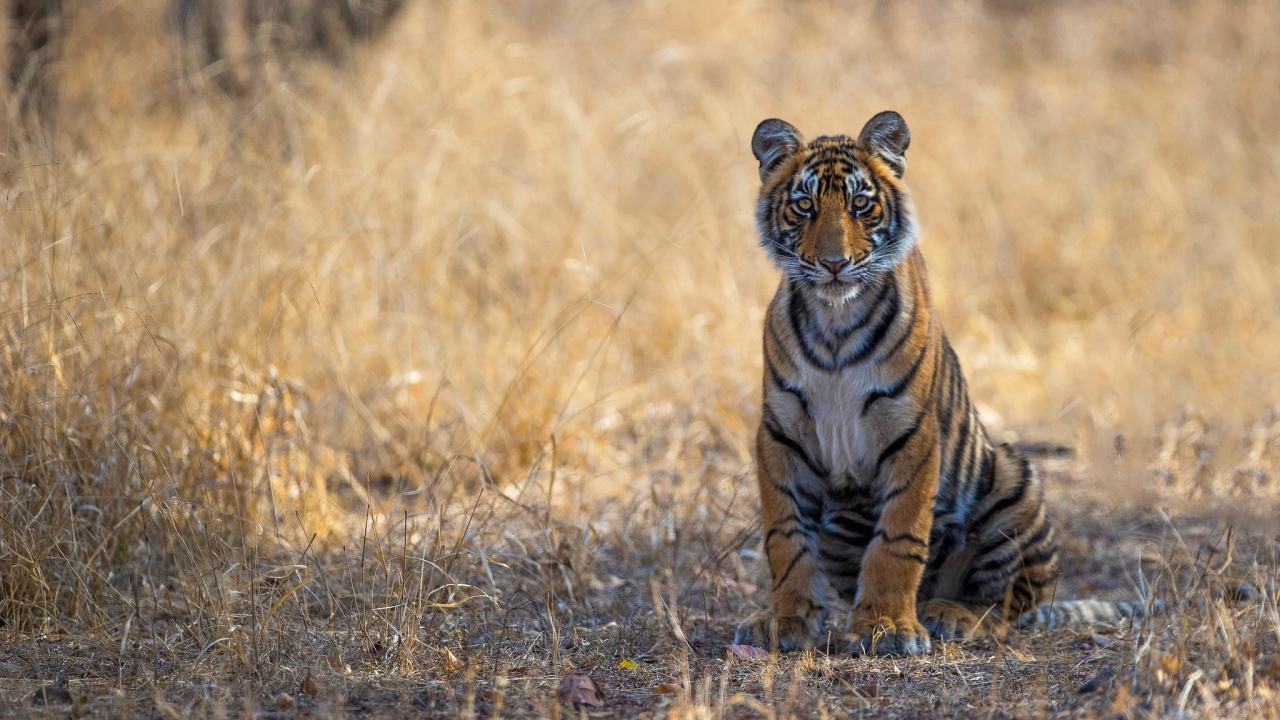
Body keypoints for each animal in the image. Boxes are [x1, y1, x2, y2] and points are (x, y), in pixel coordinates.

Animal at [733, 111, 1147, 656]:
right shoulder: (780, 436)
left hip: (1013, 478)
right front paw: (786, 621)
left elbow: (898, 539)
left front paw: (888, 626)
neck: (835, 322)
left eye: (860, 205)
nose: (834, 264)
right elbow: (786, 539)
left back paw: (950, 614)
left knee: (1007, 609)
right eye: (804, 206)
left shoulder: (912, 435)